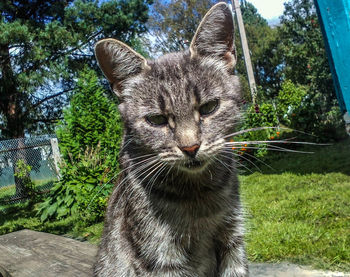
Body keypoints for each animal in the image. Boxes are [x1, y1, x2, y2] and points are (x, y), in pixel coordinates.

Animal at [91, 2, 247, 276]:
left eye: (209, 107)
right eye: (157, 120)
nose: (190, 147)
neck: (198, 195)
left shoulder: (233, 241)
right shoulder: (159, 256)